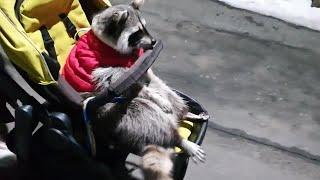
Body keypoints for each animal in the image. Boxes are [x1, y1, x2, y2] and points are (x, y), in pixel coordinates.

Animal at [89, 0, 208, 162]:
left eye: (145, 27)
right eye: (137, 32)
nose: (153, 41)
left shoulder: (139, 64)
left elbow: (148, 73)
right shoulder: (108, 70)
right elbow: (130, 84)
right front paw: (156, 98)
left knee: (166, 92)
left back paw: (185, 113)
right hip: (115, 111)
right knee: (150, 117)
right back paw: (179, 140)